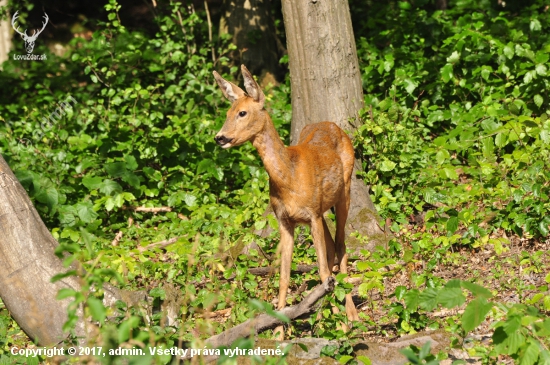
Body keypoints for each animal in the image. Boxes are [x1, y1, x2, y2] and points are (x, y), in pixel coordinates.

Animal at [213, 65, 360, 338]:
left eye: (242, 112)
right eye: (227, 112)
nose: (220, 137)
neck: (289, 178)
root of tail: (334, 125)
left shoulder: (311, 214)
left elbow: (322, 271)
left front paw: (338, 325)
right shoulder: (285, 220)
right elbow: (284, 276)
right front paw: (279, 332)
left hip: (344, 191)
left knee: (341, 246)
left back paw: (351, 316)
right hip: (322, 208)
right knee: (332, 248)